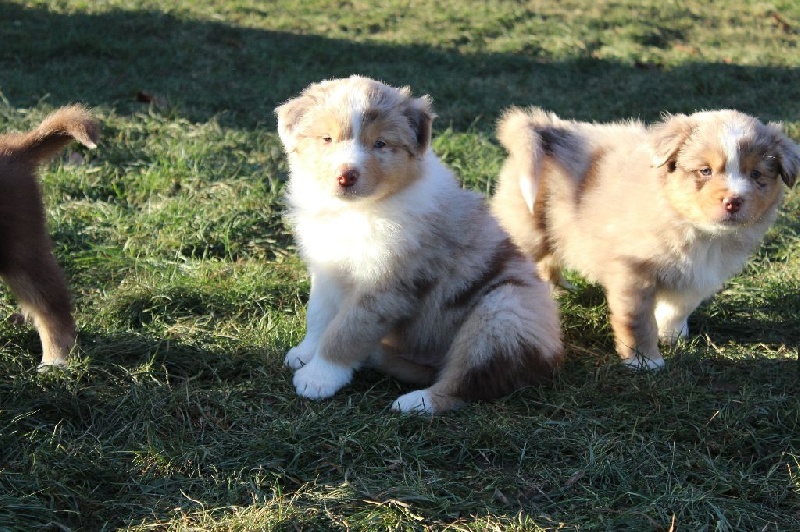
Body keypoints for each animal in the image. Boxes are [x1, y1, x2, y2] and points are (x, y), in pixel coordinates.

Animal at [275, 76, 563, 414]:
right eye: (326, 139)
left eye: (380, 144)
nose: (346, 176)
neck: (357, 211)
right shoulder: (326, 266)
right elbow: (319, 314)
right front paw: (305, 352)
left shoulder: (386, 284)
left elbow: (346, 330)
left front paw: (319, 376)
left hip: (502, 313)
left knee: (465, 380)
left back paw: (417, 402)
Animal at [492, 107, 800, 369]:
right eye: (705, 170)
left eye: (756, 174)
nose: (733, 201)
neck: (697, 232)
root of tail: (548, 129)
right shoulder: (633, 273)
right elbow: (637, 321)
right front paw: (644, 361)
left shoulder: (700, 274)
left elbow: (678, 307)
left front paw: (672, 336)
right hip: (528, 229)